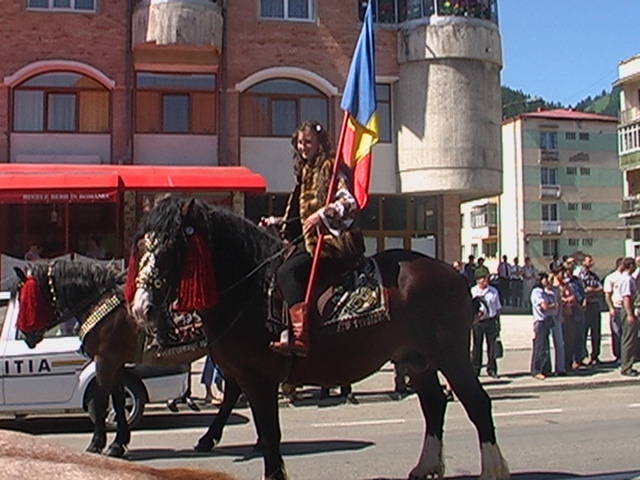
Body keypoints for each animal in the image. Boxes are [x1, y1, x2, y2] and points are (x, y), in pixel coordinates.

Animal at [12, 262, 248, 458]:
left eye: (27, 300)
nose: (25, 336)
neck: (101, 303)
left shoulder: (104, 361)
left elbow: (101, 401)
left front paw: (97, 443)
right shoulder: (116, 362)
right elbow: (117, 400)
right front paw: (118, 443)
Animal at [130, 196, 510, 480]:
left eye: (171, 245)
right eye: (142, 245)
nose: (141, 307)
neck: (249, 290)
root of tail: (454, 275)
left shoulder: (259, 378)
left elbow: (270, 434)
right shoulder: (243, 375)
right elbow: (253, 422)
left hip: (451, 356)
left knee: (477, 404)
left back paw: (494, 469)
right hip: (417, 360)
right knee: (433, 404)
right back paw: (426, 466)